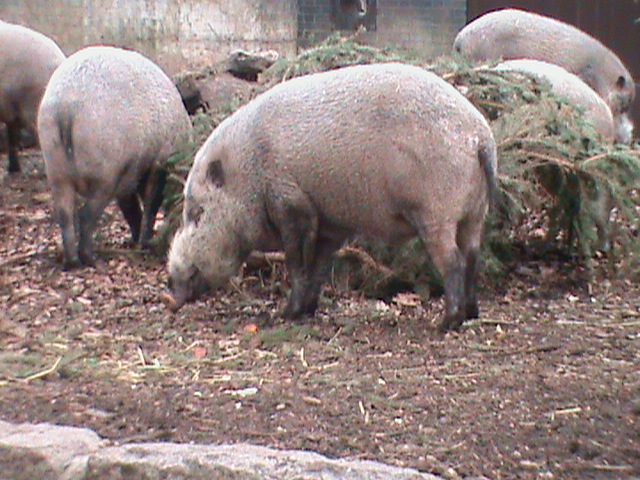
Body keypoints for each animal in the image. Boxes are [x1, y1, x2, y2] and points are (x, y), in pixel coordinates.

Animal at [38, 46, 192, 270]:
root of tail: (65, 106)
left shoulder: (128, 174)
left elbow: (131, 208)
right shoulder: (156, 164)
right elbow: (150, 203)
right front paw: (144, 244)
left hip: (55, 167)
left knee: (64, 213)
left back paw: (72, 261)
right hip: (104, 171)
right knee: (85, 214)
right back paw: (91, 259)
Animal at [167, 63, 497, 332]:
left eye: (196, 212)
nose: (170, 285)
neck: (250, 171)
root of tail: (480, 138)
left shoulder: (293, 206)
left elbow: (297, 263)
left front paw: (286, 315)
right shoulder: (331, 224)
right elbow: (320, 266)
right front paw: (306, 311)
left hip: (436, 213)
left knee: (453, 262)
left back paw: (447, 323)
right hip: (475, 212)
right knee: (473, 255)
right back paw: (471, 314)